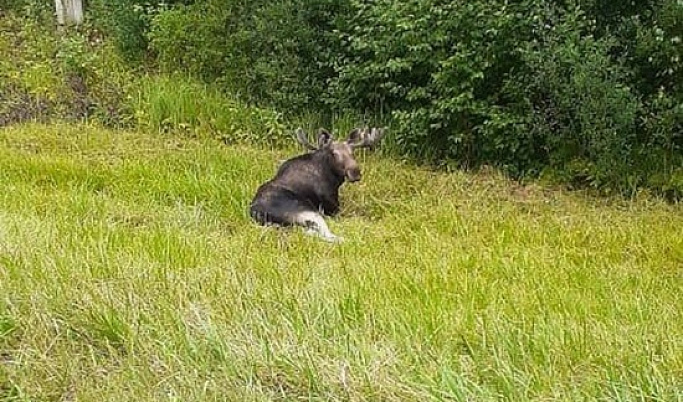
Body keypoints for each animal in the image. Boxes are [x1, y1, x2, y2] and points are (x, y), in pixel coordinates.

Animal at [251, 127, 388, 243]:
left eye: (352, 152)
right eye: (334, 153)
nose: (355, 172)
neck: (333, 179)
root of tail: (258, 213)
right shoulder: (332, 208)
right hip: (308, 212)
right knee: (327, 235)